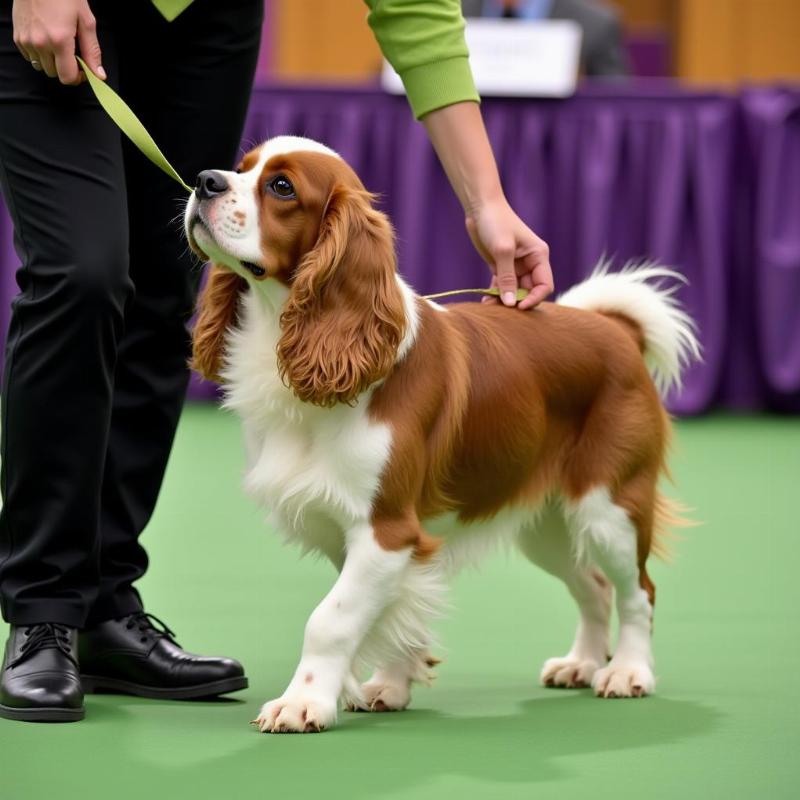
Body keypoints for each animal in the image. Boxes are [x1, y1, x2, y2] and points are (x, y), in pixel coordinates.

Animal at [184, 136, 696, 732]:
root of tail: (614, 328)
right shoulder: (352, 532)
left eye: (281, 187)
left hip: (608, 506)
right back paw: (584, 663)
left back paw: (629, 671)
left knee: (639, 590)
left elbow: (330, 620)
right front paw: (385, 684)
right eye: (241, 167)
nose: (204, 181)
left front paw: (303, 703)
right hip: (547, 524)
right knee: (593, 586)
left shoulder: (387, 530)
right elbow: (386, 616)